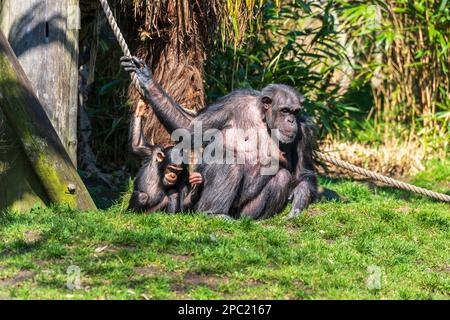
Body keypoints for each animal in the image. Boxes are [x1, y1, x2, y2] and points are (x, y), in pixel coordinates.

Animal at [121, 56, 318, 219]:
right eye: (284, 110)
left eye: (295, 111)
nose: (291, 120)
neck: (263, 118)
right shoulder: (231, 102)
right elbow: (189, 127)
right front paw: (146, 78)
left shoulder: (304, 130)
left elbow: (302, 173)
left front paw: (299, 201)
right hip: (198, 201)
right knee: (230, 162)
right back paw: (214, 213)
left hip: (241, 209)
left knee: (282, 176)